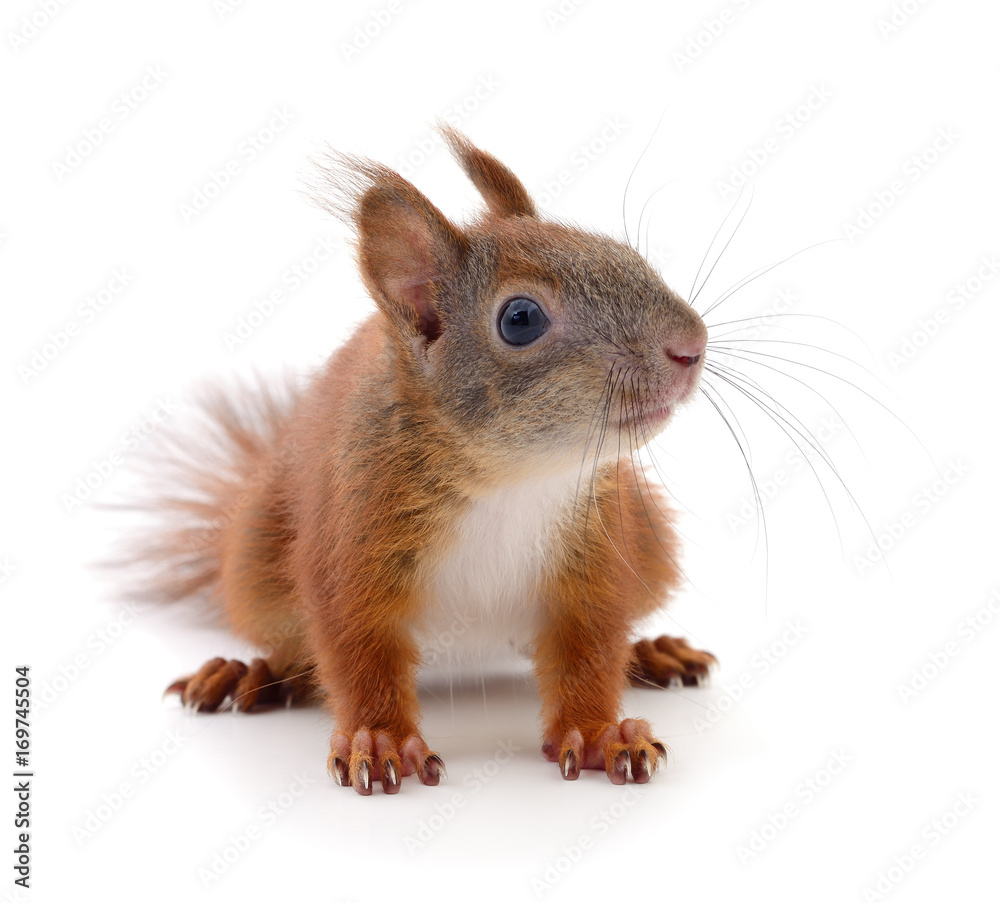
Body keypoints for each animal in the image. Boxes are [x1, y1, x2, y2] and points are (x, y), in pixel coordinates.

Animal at [145, 125, 716, 794]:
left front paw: (601, 733)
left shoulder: (600, 546)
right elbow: (356, 646)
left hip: (648, 542)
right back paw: (249, 672)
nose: (691, 346)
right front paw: (379, 739)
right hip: (255, 563)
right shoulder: (351, 534)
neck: (509, 481)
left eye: (623, 253)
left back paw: (653, 651)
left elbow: (592, 646)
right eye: (520, 319)